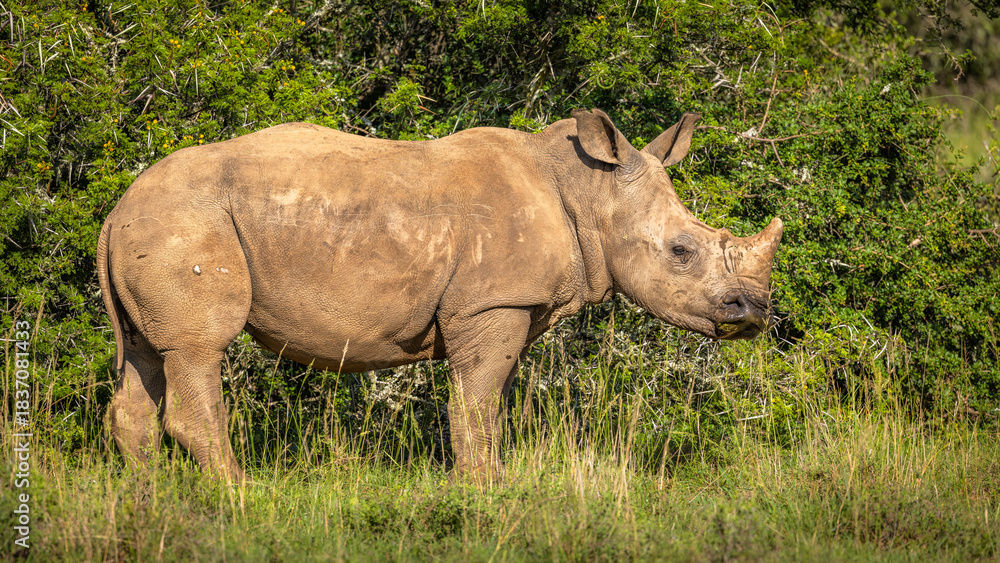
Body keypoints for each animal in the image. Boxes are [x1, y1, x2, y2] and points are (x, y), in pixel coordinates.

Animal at [97, 109, 782, 482]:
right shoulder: (492, 304)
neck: (590, 191)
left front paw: (489, 480)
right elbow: (476, 403)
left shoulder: (511, 307)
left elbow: (490, 403)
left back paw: (151, 501)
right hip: (185, 220)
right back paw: (242, 494)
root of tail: (115, 211)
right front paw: (485, 489)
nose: (751, 314)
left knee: (145, 355)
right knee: (197, 348)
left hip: (157, 226)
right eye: (681, 251)